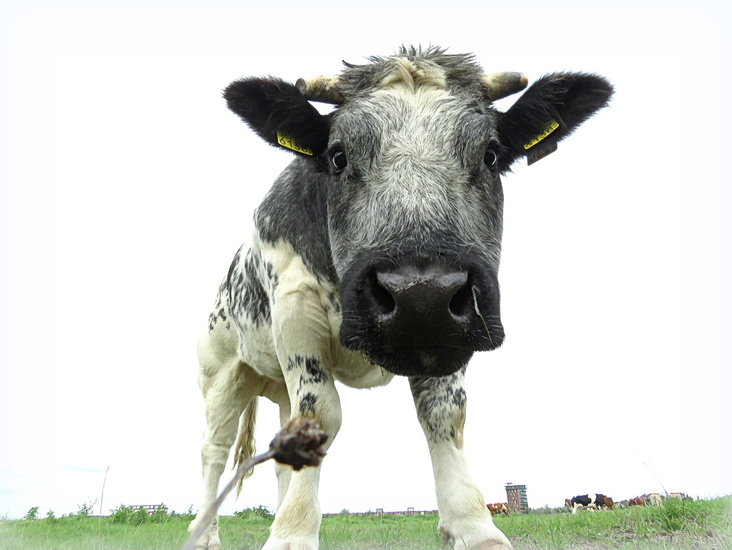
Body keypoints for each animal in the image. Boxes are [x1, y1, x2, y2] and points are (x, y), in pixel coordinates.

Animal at [188, 46, 613, 550]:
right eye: (338, 156)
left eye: (491, 155)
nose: (420, 294)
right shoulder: (295, 309)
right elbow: (322, 414)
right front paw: (292, 535)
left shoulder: (450, 333)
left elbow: (444, 415)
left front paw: (472, 526)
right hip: (220, 374)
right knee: (214, 450)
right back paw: (205, 533)